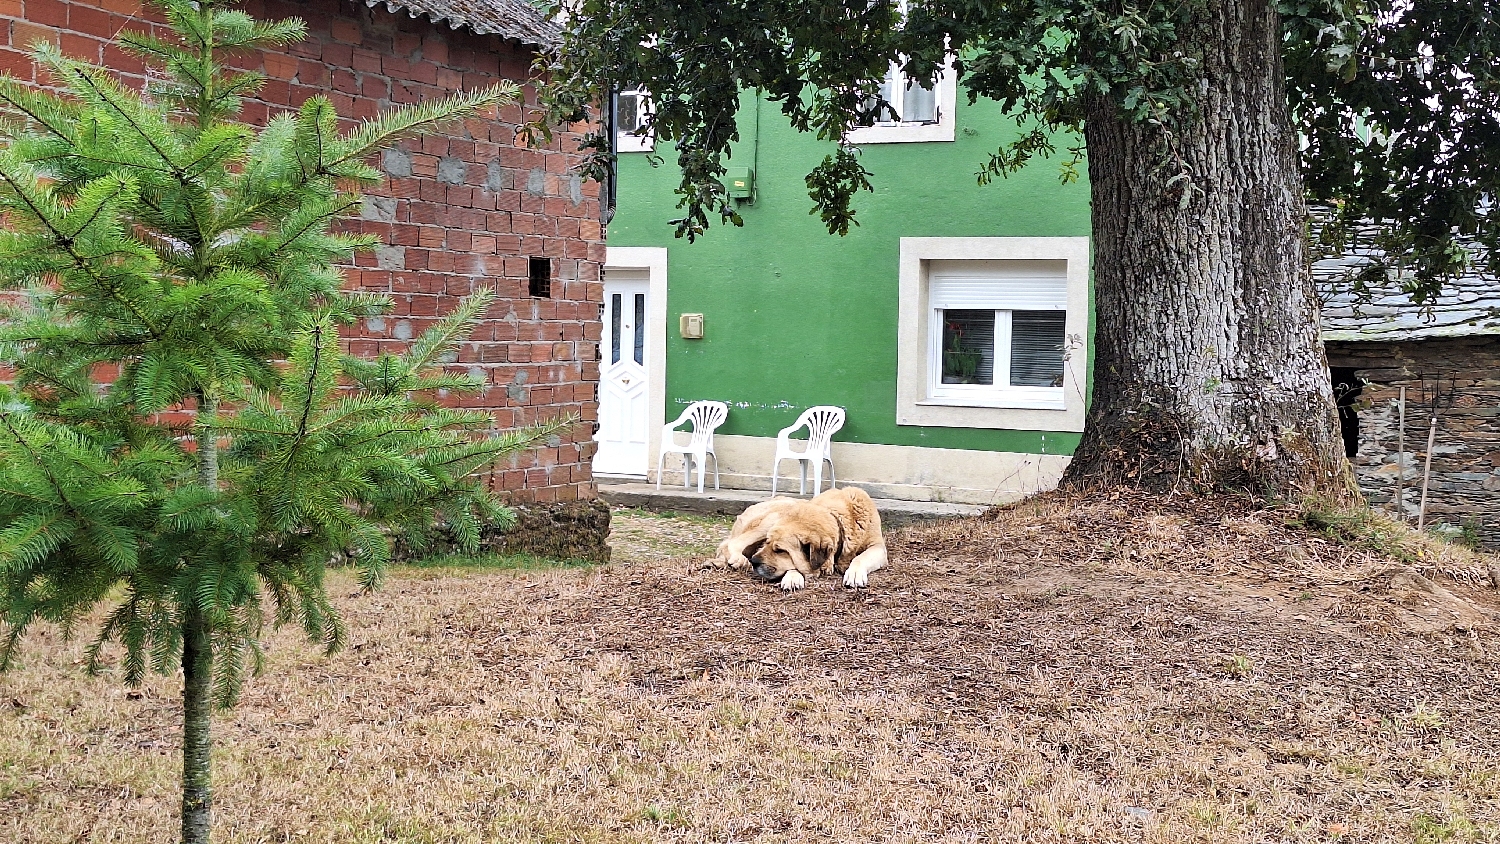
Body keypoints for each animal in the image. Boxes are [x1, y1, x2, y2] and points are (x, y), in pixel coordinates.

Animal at [711, 485, 882, 590]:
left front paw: (854, 574)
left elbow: (860, 558)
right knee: (730, 544)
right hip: (776, 514)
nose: (754, 561)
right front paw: (792, 577)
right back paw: (740, 560)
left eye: (780, 550)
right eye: (767, 543)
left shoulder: (877, 547)